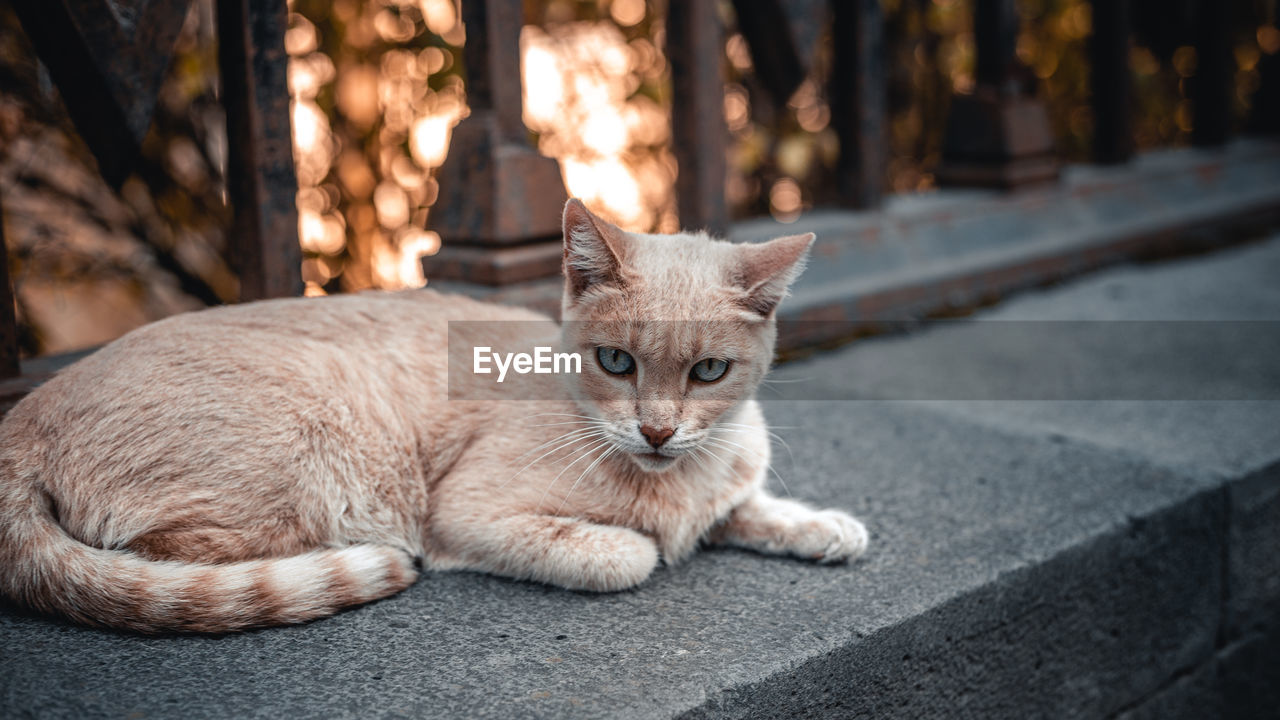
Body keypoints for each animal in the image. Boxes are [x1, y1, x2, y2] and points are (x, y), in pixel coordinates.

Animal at [0, 198, 870, 630]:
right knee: (168, 561)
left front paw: (823, 525)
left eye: (709, 371)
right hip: (315, 451)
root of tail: (24, 418)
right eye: (617, 363)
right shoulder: (468, 513)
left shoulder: (723, 486)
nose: (656, 431)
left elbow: (749, 508)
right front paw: (647, 542)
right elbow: (630, 554)